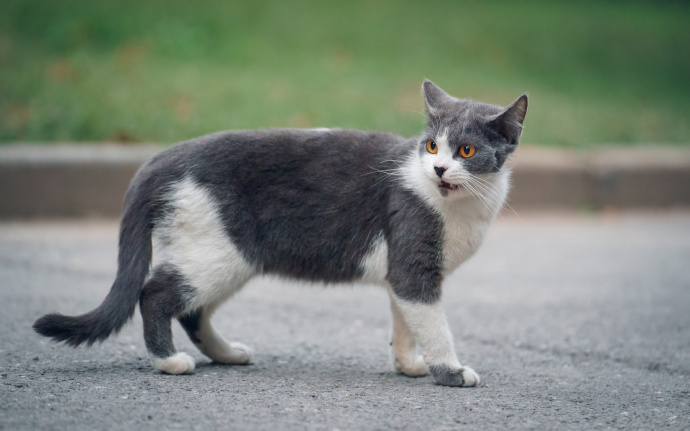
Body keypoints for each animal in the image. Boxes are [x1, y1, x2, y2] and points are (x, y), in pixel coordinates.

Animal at [32, 81, 528, 388]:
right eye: (431, 146)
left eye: (467, 150)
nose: (439, 169)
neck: (465, 207)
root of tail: (160, 160)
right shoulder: (413, 267)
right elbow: (433, 324)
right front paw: (451, 371)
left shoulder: (404, 273)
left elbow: (405, 323)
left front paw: (409, 366)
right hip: (217, 252)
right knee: (155, 294)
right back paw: (169, 362)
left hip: (230, 257)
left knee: (191, 312)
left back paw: (227, 354)